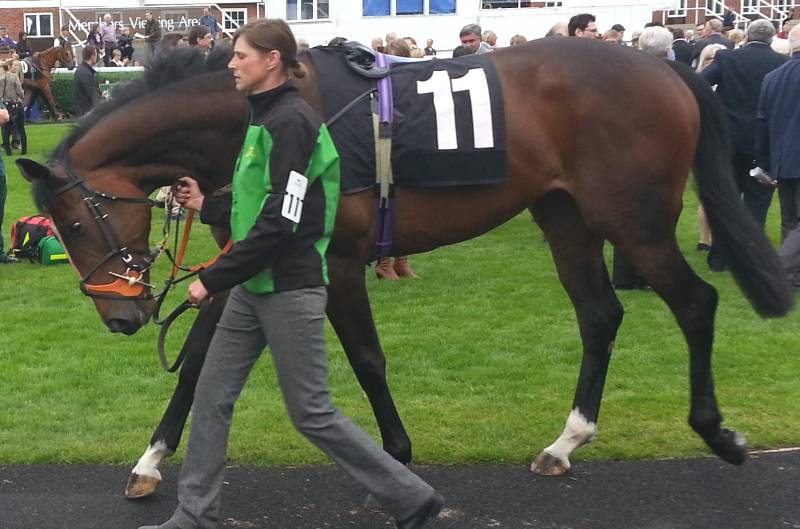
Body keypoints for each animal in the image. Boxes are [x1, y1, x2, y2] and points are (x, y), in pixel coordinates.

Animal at [16, 43, 793, 498]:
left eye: (77, 223)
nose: (121, 316)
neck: (257, 115)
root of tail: (663, 65)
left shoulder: (335, 259)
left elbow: (366, 357)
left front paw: (395, 455)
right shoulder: (248, 256)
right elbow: (201, 354)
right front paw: (150, 460)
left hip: (633, 220)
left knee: (696, 303)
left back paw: (718, 432)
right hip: (564, 214)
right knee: (601, 314)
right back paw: (566, 442)